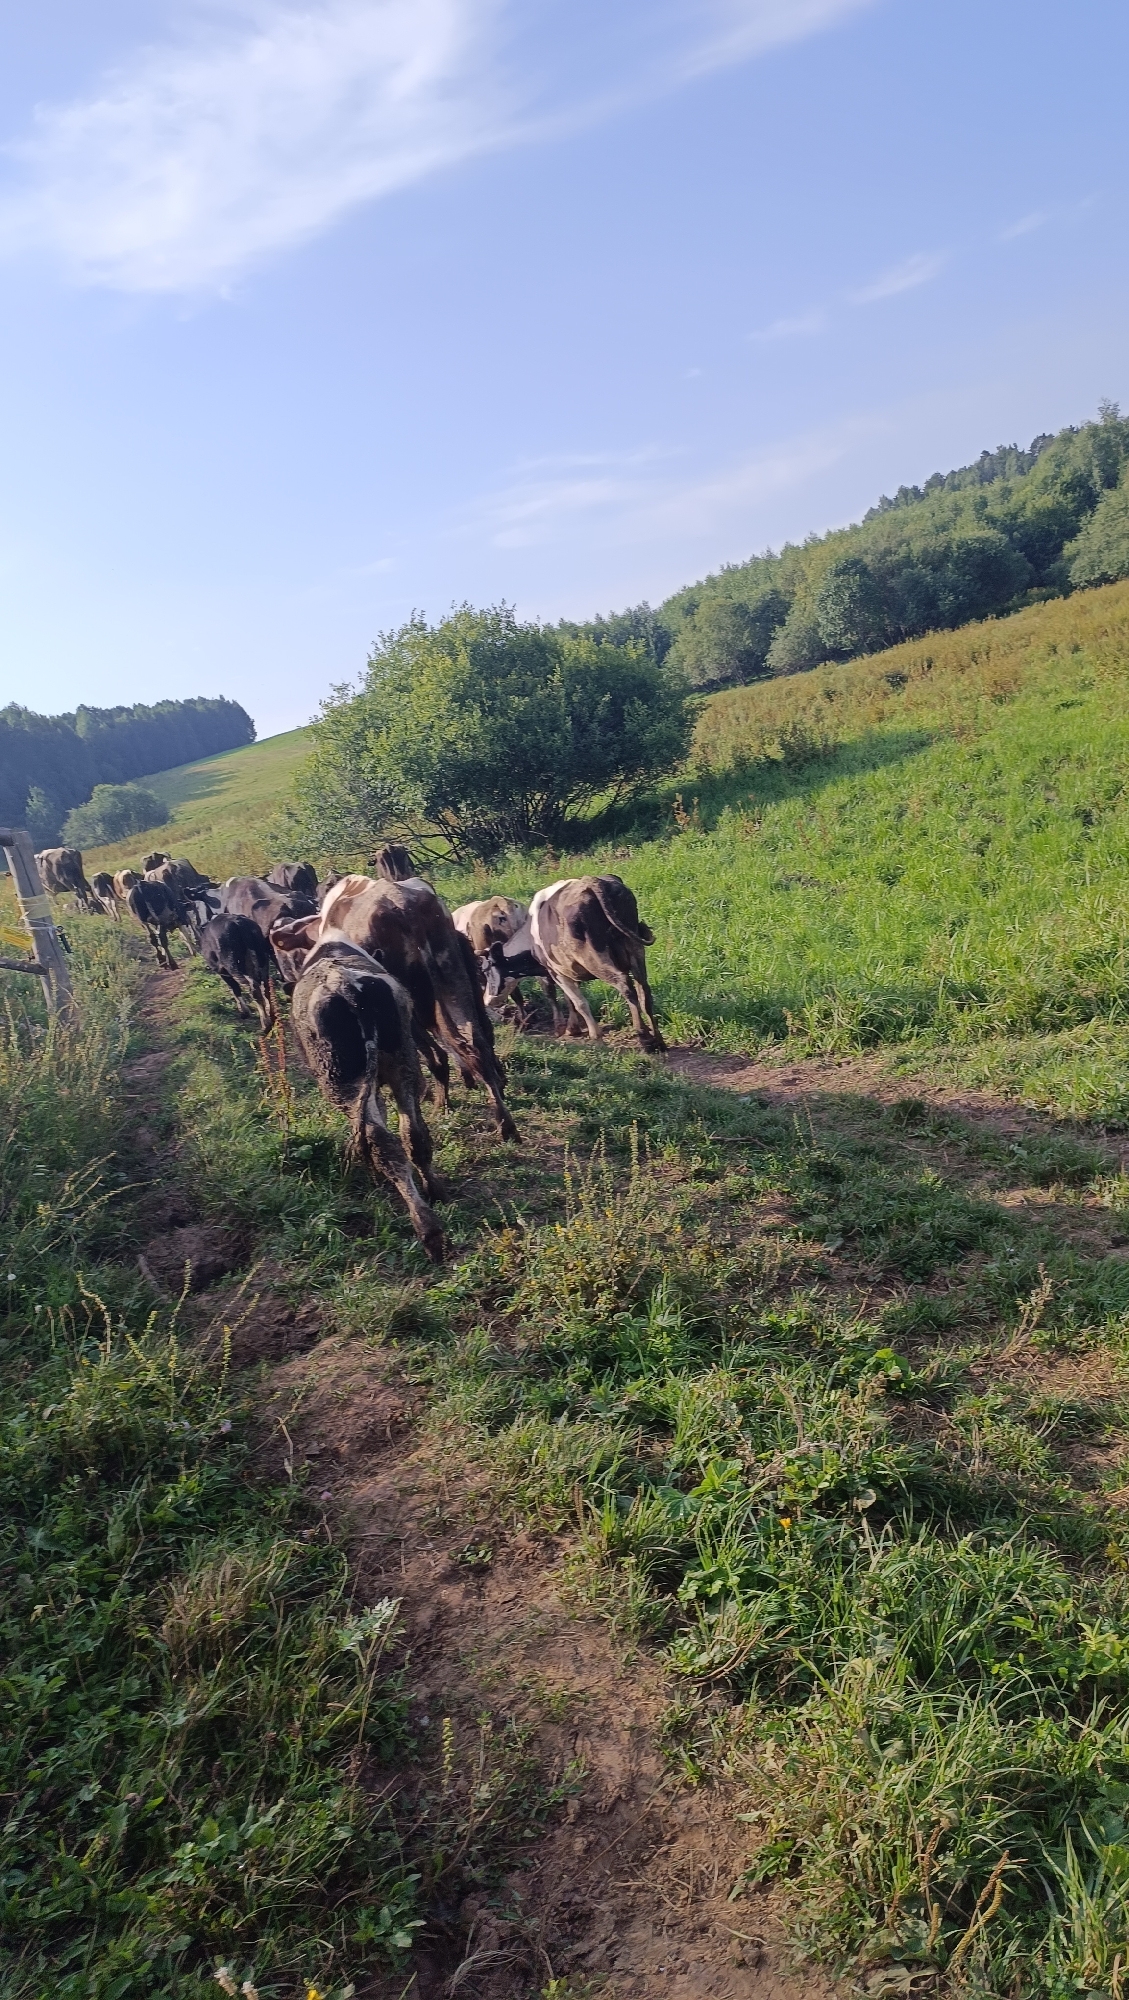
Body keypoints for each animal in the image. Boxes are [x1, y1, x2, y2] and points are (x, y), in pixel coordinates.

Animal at [272, 873, 518, 1141]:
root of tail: (400, 903)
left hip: (413, 1001)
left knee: (438, 1052)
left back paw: (441, 1103)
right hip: (452, 978)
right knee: (475, 1040)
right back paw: (504, 1122)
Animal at [290, 928, 443, 1261]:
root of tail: (345, 986)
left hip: (341, 1083)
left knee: (381, 1141)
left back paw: (427, 1229)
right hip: (403, 1063)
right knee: (411, 1134)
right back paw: (433, 1191)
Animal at [513, 875, 664, 1053]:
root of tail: (593, 881)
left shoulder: (555, 971)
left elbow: (578, 1002)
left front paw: (593, 1035)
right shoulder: (567, 970)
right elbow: (570, 1000)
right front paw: (572, 1028)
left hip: (593, 955)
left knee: (625, 984)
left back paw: (644, 1037)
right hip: (635, 948)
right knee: (644, 990)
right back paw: (659, 1041)